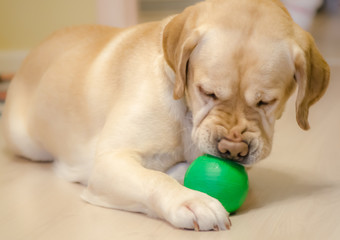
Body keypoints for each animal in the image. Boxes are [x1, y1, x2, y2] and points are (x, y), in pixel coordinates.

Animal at [1, 0, 328, 232]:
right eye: (207, 92)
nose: (232, 151)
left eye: (266, 102)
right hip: (27, 143)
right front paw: (190, 200)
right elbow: (154, 179)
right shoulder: (108, 162)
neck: (186, 113)